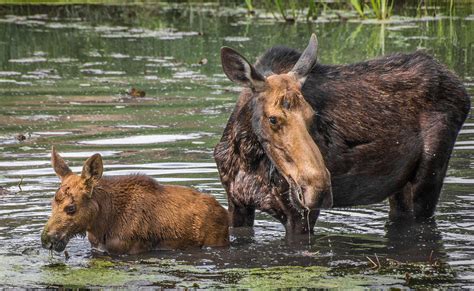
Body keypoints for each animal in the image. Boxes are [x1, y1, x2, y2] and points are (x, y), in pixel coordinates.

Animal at [41, 147, 231, 254]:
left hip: (217, 241)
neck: (102, 223)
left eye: (71, 208)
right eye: (51, 204)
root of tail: (224, 211)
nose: (46, 240)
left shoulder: (132, 249)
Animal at [216, 33, 470, 236]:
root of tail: (462, 89)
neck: (246, 156)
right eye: (273, 119)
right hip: (401, 188)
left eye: (312, 116)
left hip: (430, 175)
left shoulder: (300, 215)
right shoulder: (237, 202)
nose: (318, 189)